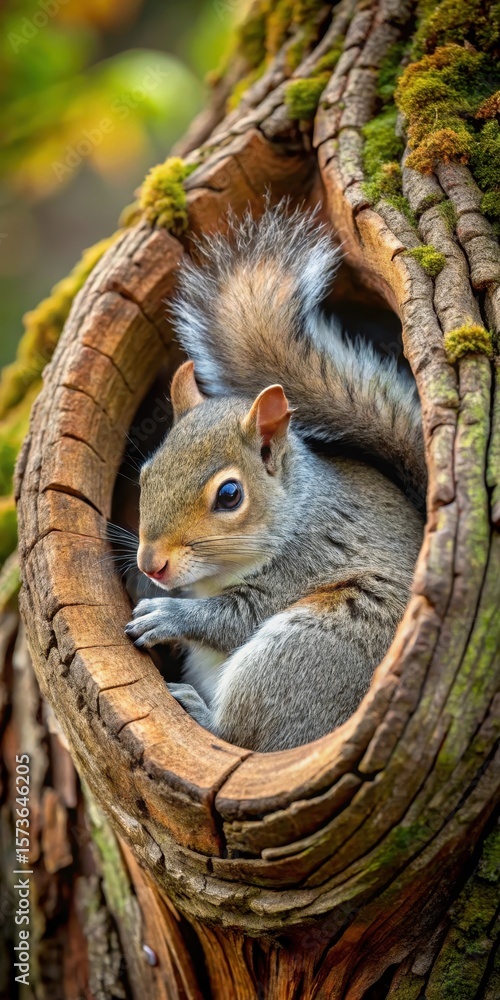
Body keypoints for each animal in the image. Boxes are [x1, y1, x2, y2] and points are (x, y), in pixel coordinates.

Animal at [124, 204, 425, 753]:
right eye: (145, 474)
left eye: (229, 495)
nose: (152, 564)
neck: (296, 508)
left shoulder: (307, 560)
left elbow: (235, 617)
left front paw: (167, 615)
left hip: (307, 651)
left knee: (244, 740)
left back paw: (199, 712)